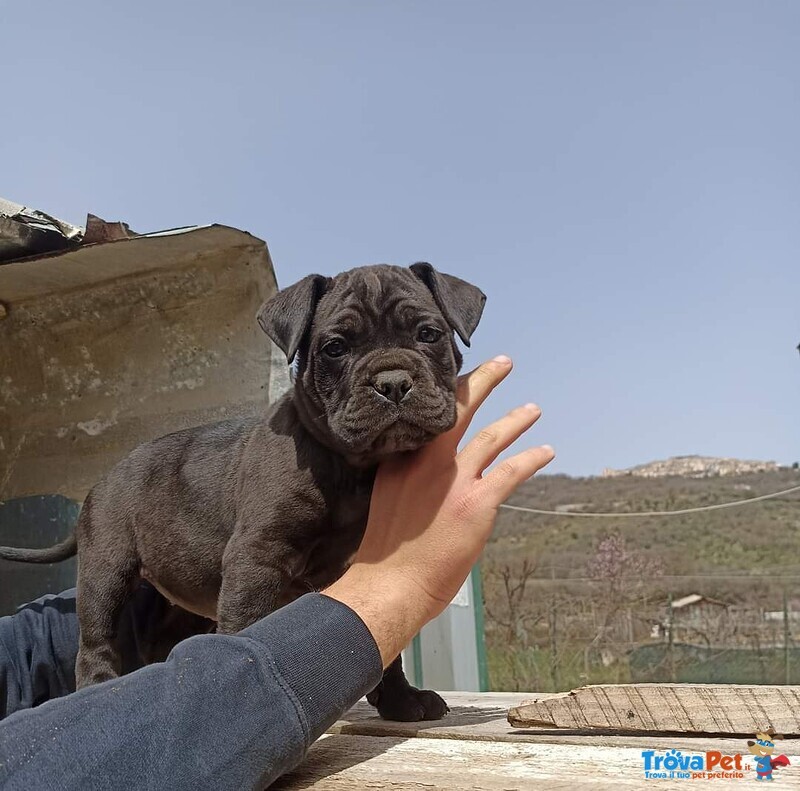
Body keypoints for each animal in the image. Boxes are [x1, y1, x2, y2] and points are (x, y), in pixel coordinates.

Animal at [0, 262, 484, 720]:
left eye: (428, 334)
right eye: (335, 348)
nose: (392, 382)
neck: (353, 468)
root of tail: (99, 482)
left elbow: (387, 642)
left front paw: (402, 700)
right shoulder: (257, 557)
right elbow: (247, 625)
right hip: (106, 571)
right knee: (96, 640)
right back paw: (100, 686)